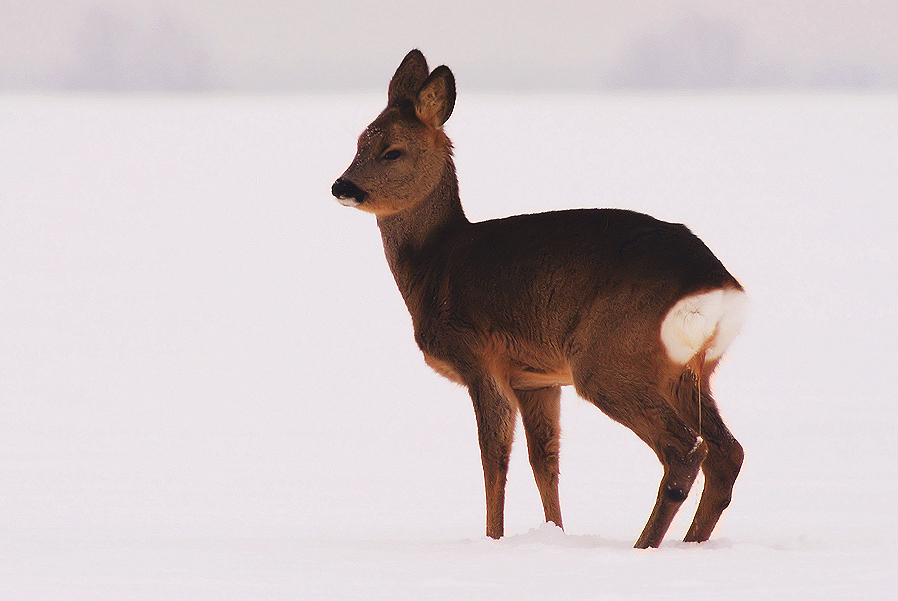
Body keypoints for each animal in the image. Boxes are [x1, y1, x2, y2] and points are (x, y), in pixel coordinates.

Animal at [332, 50, 744, 548]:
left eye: (392, 150)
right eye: (359, 141)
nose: (341, 186)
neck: (435, 262)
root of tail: (717, 284)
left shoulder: (479, 355)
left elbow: (494, 456)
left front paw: (494, 540)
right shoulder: (537, 378)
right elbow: (544, 459)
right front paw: (554, 533)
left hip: (608, 358)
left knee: (685, 449)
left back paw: (643, 545)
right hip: (689, 371)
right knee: (727, 452)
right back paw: (691, 543)